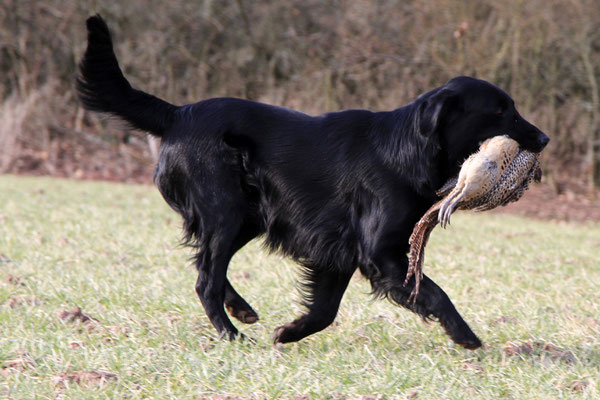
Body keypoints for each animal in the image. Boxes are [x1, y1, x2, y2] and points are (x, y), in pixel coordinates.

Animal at [78, 15, 548, 348]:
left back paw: (242, 311)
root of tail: (178, 114)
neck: (407, 149)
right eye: (501, 110)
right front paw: (465, 335)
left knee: (206, 265)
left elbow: (325, 309)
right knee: (204, 279)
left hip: (247, 216)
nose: (544, 138)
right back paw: (233, 335)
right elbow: (433, 292)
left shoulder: (338, 250)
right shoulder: (380, 252)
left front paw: (289, 332)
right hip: (226, 211)